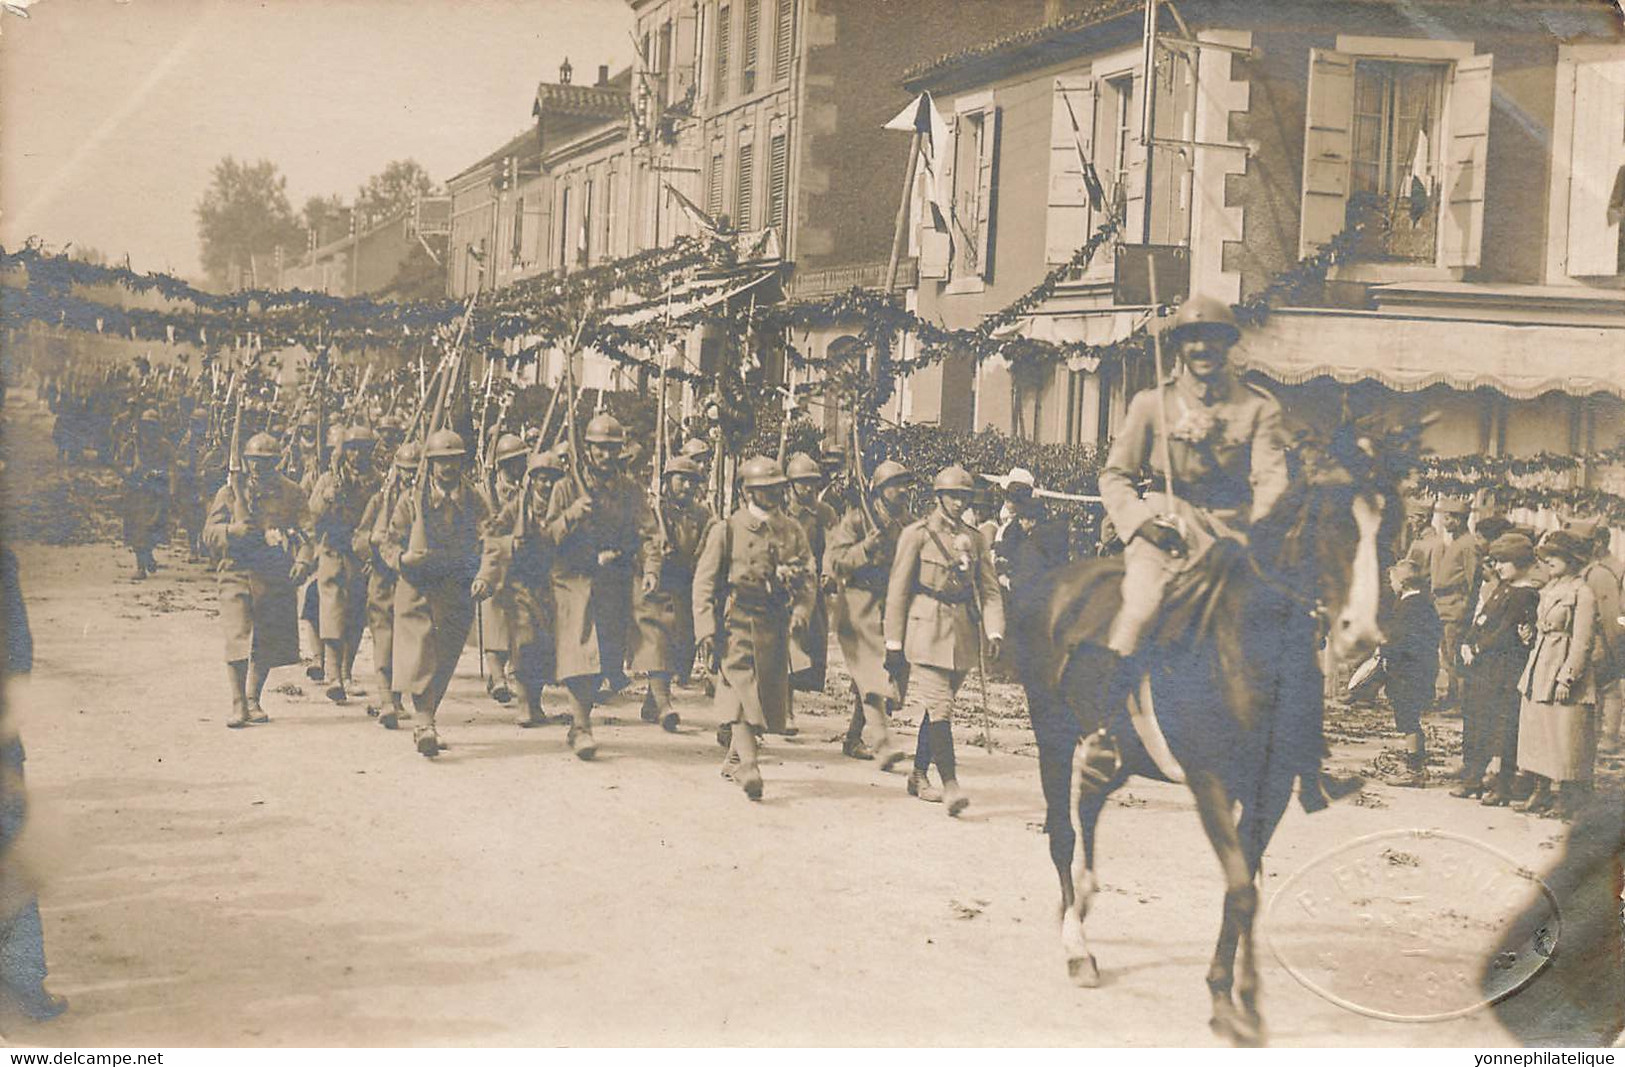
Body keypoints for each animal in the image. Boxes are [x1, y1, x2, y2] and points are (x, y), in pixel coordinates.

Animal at [1020, 428, 1404, 1045]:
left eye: (1388, 526)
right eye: (1332, 524)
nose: (1362, 634)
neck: (1244, 651)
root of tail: (1053, 583)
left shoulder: (1271, 792)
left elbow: (1243, 888)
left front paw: (1239, 996)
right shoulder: (1210, 785)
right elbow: (1242, 887)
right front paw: (1230, 1000)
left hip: (1122, 751)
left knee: (1092, 801)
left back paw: (1081, 902)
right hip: (1051, 734)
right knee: (1062, 830)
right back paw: (1077, 947)